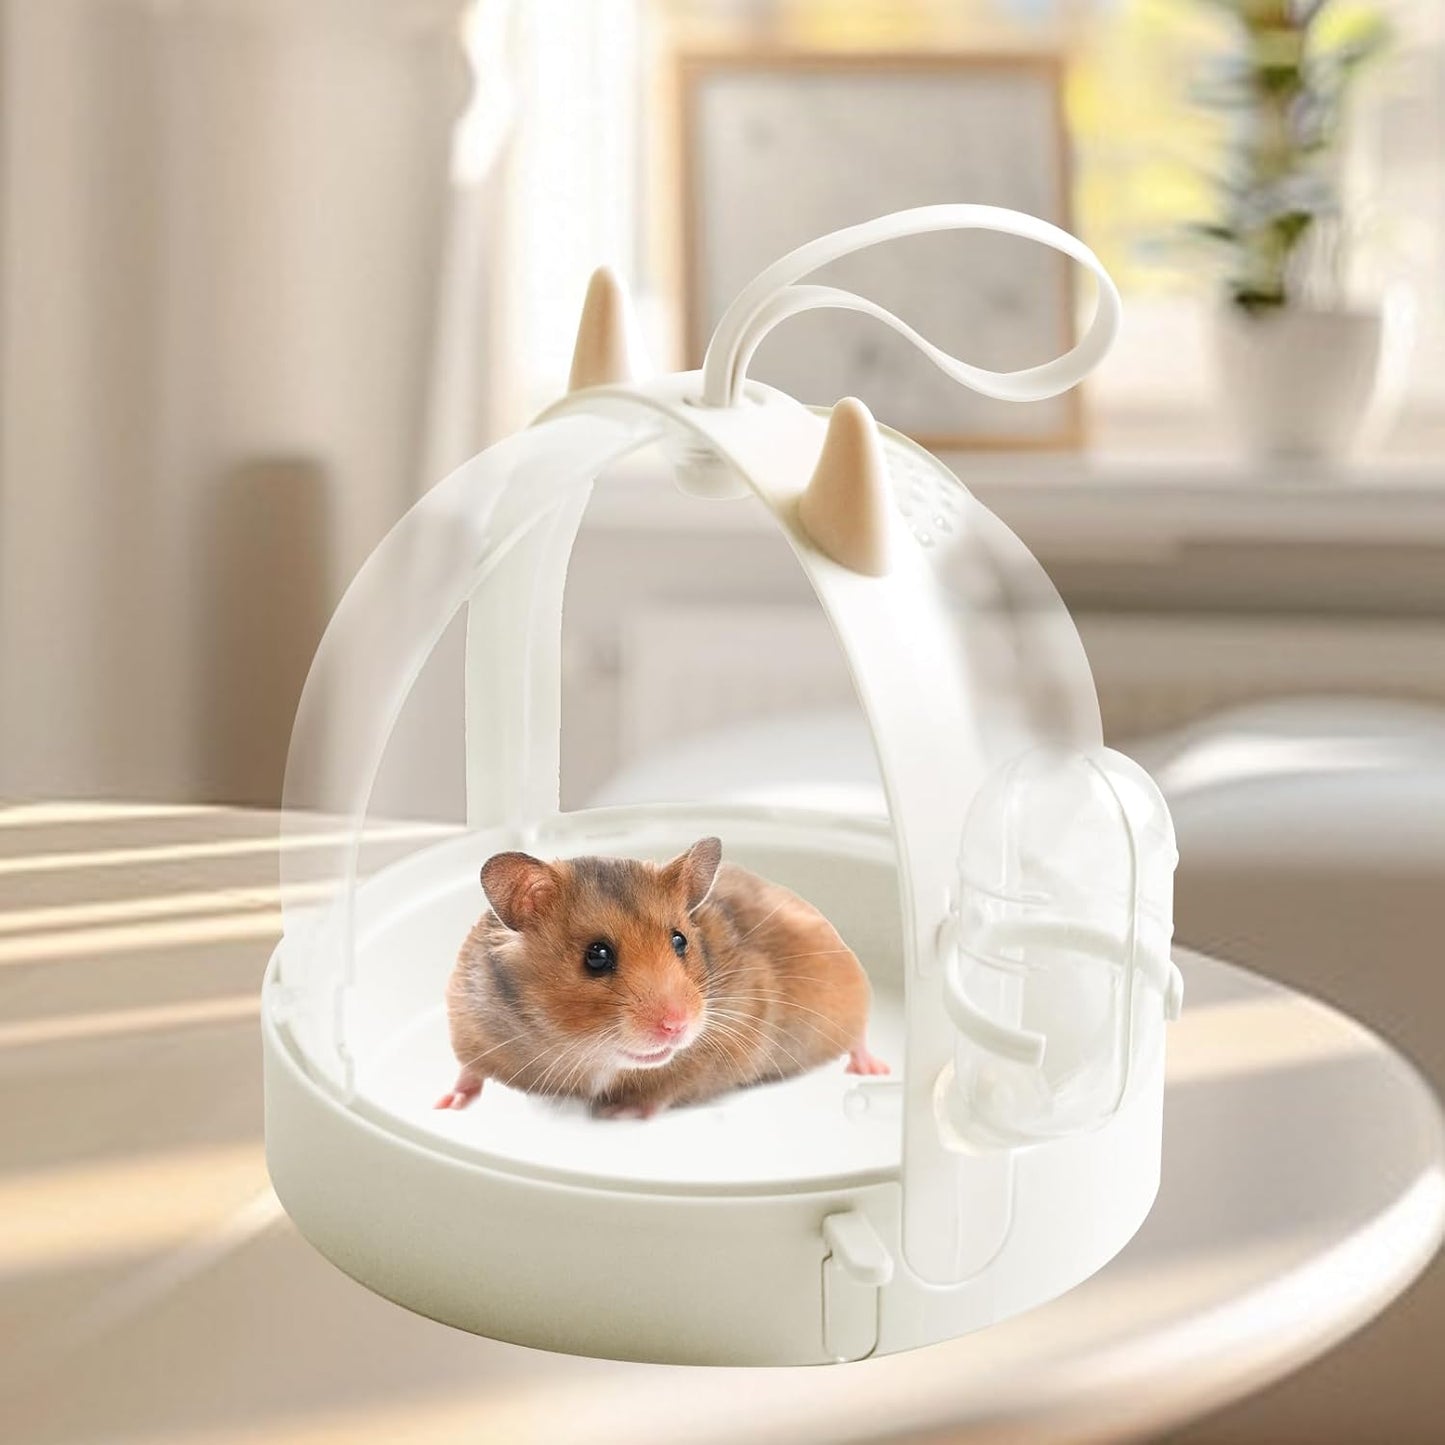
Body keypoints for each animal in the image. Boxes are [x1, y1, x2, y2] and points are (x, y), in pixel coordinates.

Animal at [437, 836, 888, 1118]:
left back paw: (874, 1069)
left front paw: (619, 1113)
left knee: (859, 1036)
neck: (584, 1052)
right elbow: (468, 1070)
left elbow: (664, 1088)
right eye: (596, 956)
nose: (677, 1026)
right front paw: (445, 1104)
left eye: (680, 940)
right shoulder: (470, 1022)